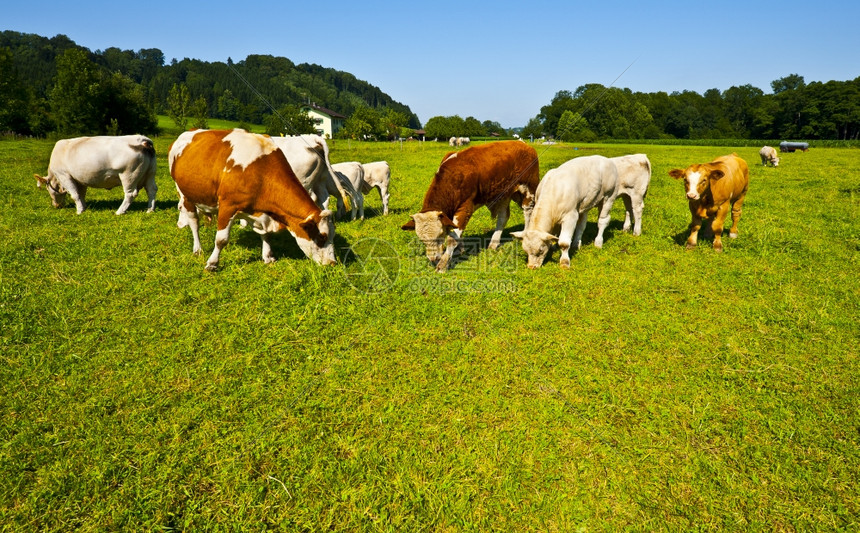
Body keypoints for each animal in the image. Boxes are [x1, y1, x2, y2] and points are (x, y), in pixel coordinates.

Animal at [168, 129, 336, 270]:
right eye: (322, 237)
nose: (332, 263)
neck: (261, 171)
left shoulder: (262, 211)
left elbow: (265, 234)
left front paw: (268, 256)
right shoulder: (228, 206)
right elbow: (221, 239)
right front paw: (212, 263)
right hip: (185, 194)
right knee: (194, 223)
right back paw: (198, 249)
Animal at [402, 140, 536, 270]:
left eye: (440, 235)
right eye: (421, 239)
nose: (433, 258)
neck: (453, 177)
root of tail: (522, 144)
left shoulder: (465, 208)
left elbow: (452, 239)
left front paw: (443, 264)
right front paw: (460, 249)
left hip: (528, 188)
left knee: (528, 211)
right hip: (504, 194)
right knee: (503, 217)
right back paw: (493, 243)